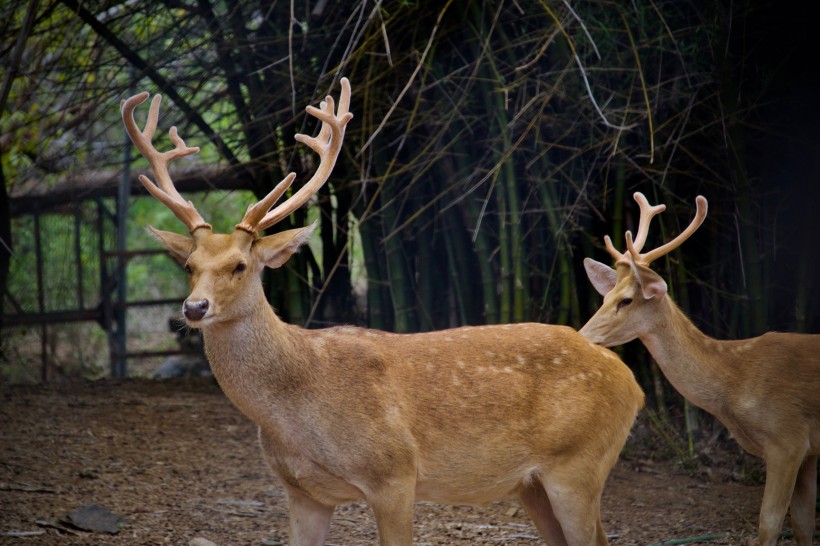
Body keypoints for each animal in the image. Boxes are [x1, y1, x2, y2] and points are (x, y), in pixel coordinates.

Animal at [123, 77, 648, 544]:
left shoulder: (394, 473)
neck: (295, 412)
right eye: (188, 265)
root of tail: (631, 381)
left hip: (577, 465)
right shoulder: (303, 492)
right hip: (533, 484)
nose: (194, 307)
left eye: (240, 265)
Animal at [580, 191, 816, 544]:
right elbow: (803, 524)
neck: (737, 379)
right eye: (605, 298)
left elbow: (770, 523)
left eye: (626, 300)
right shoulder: (808, 450)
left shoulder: (787, 438)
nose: (581, 336)